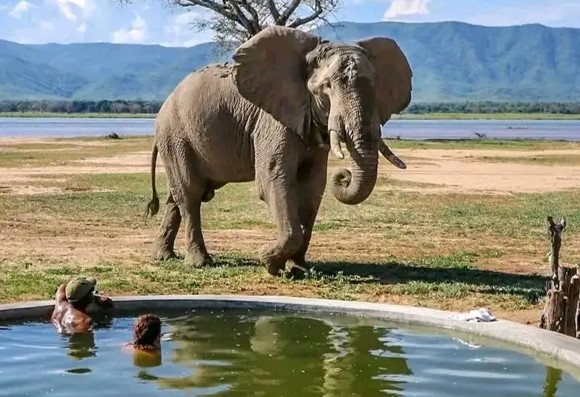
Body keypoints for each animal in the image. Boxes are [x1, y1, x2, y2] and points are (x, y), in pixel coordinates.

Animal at [145, 24, 412, 276]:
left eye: (376, 87)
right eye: (326, 88)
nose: (344, 175)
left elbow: (312, 186)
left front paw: (298, 268)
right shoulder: (273, 121)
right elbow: (272, 178)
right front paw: (268, 262)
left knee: (178, 195)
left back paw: (163, 256)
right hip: (176, 136)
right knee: (190, 192)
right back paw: (199, 263)